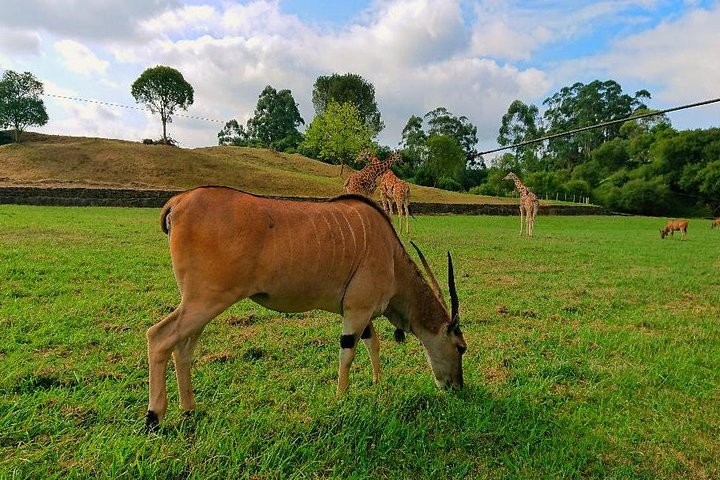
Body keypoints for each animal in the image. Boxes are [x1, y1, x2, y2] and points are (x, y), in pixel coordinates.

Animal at [148, 186, 466, 430]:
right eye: (461, 347)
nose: (456, 386)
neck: (390, 254)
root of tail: (179, 201)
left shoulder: (360, 314)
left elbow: (372, 343)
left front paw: (378, 383)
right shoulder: (357, 311)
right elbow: (348, 353)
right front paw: (341, 398)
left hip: (200, 305)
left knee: (183, 348)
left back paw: (189, 409)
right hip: (205, 302)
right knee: (159, 337)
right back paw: (154, 417)